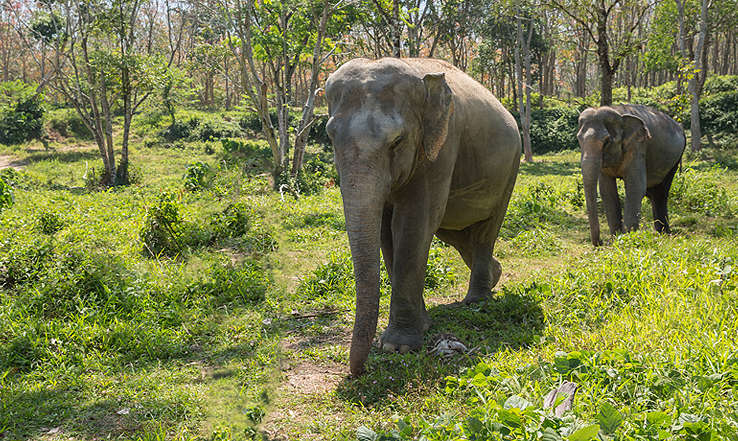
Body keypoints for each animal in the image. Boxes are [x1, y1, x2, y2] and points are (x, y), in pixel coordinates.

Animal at [324, 57, 521, 377]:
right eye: (330, 137)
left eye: (397, 141)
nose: (360, 371)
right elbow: (385, 230)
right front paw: (420, 327)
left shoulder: (441, 147)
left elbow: (414, 222)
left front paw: (398, 346)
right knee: (454, 233)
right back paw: (495, 275)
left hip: (510, 169)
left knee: (484, 232)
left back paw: (477, 301)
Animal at [577, 104, 686, 246]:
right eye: (578, 139)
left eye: (607, 141)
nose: (600, 241)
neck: (619, 113)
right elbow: (607, 191)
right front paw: (613, 240)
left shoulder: (638, 146)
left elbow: (635, 187)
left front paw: (626, 239)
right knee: (652, 193)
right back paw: (659, 234)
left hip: (675, 160)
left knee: (661, 193)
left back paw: (664, 235)